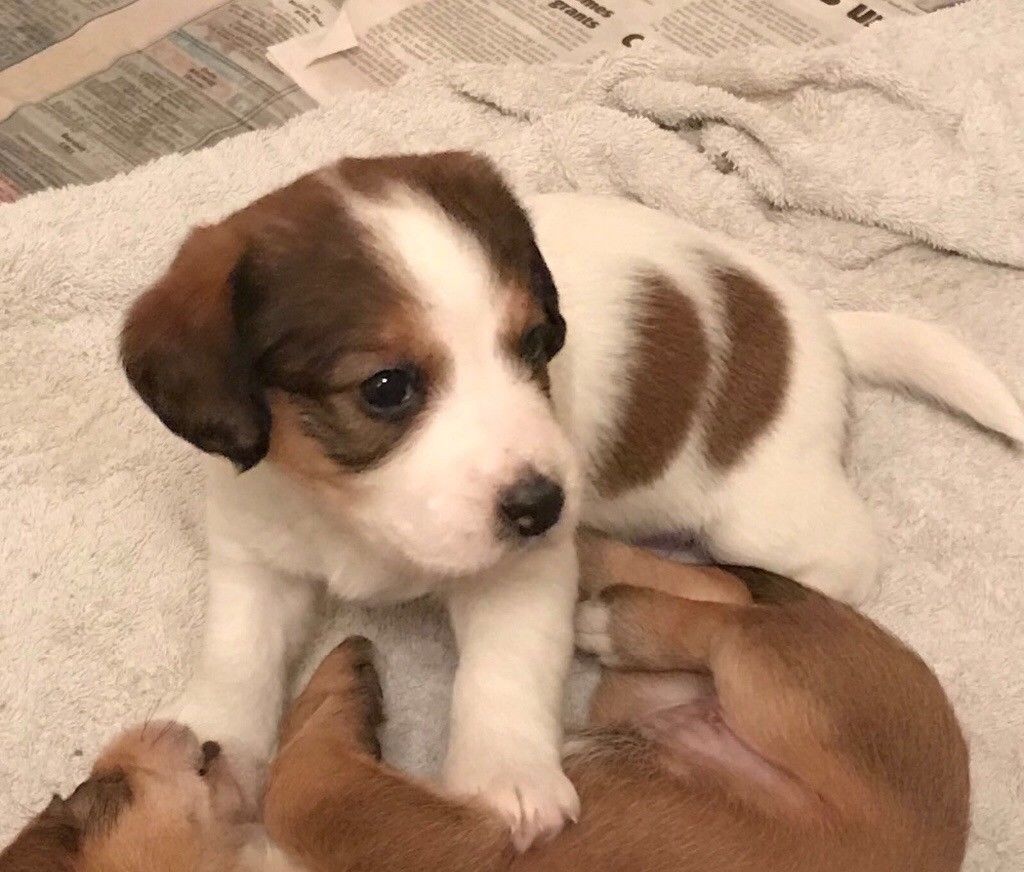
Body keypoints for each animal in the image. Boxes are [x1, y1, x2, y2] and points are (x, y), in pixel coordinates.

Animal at [0, 536, 962, 872]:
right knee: (717, 595)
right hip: (641, 700)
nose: (120, 751)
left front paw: (338, 680)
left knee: (729, 616)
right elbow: (308, 787)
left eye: (82, 800)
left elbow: (302, 786)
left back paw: (595, 573)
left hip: (785, 692)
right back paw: (594, 578)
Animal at [117, 149, 1015, 843]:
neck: (353, 518)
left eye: (536, 344)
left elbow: (503, 672)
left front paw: (504, 779)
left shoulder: (524, 569)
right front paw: (212, 748)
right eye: (386, 388)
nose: (548, 507)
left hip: (764, 523)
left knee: (811, 571)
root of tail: (822, 330)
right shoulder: (256, 552)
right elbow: (238, 653)